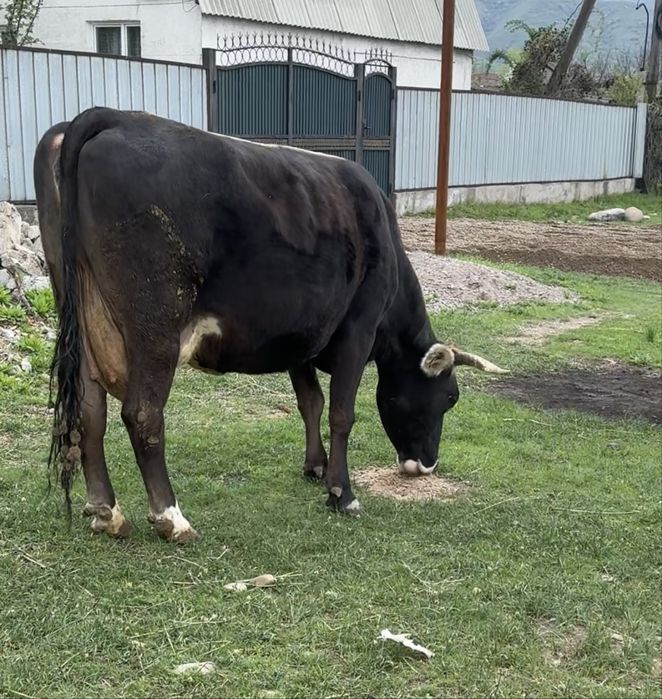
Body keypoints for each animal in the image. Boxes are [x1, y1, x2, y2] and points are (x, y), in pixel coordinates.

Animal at [34, 107, 505, 543]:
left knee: (89, 410)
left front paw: (315, 466)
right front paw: (342, 493)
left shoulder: (301, 336)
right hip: (155, 326)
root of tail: (111, 116)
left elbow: (310, 402)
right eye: (449, 398)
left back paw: (106, 512)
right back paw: (171, 518)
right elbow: (341, 413)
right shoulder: (357, 330)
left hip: (81, 314)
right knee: (142, 414)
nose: (426, 464)